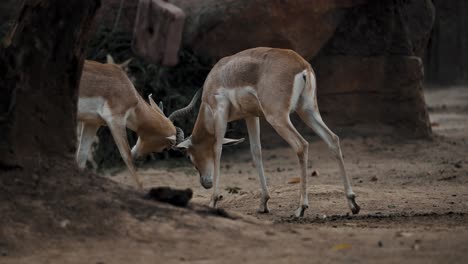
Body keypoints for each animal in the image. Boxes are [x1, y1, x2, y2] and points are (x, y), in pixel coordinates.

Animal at [77, 57, 195, 190]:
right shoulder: (116, 120)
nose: (138, 158)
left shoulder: (92, 123)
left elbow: (81, 157)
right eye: (165, 148)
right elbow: (127, 158)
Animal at [177, 47, 360, 217]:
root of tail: (302, 65)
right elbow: (256, 151)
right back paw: (352, 203)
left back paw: (301, 208)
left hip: (277, 117)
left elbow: (217, 149)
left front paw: (213, 201)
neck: (218, 75)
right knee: (333, 139)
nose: (205, 183)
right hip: (307, 110)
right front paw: (263, 203)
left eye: (188, 156)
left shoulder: (219, 111)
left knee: (301, 145)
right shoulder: (251, 115)